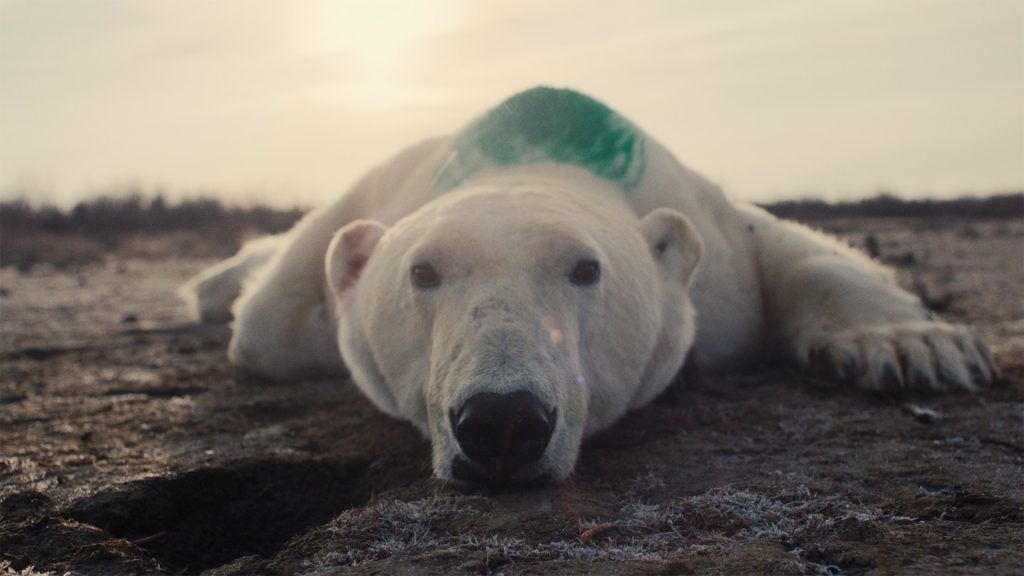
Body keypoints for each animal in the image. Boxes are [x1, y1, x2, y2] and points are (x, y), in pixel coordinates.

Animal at [182, 87, 997, 487]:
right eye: (423, 271)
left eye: (585, 268)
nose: (502, 418)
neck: (536, 145)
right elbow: (272, 322)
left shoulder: (707, 231)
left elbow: (780, 242)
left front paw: (916, 347)